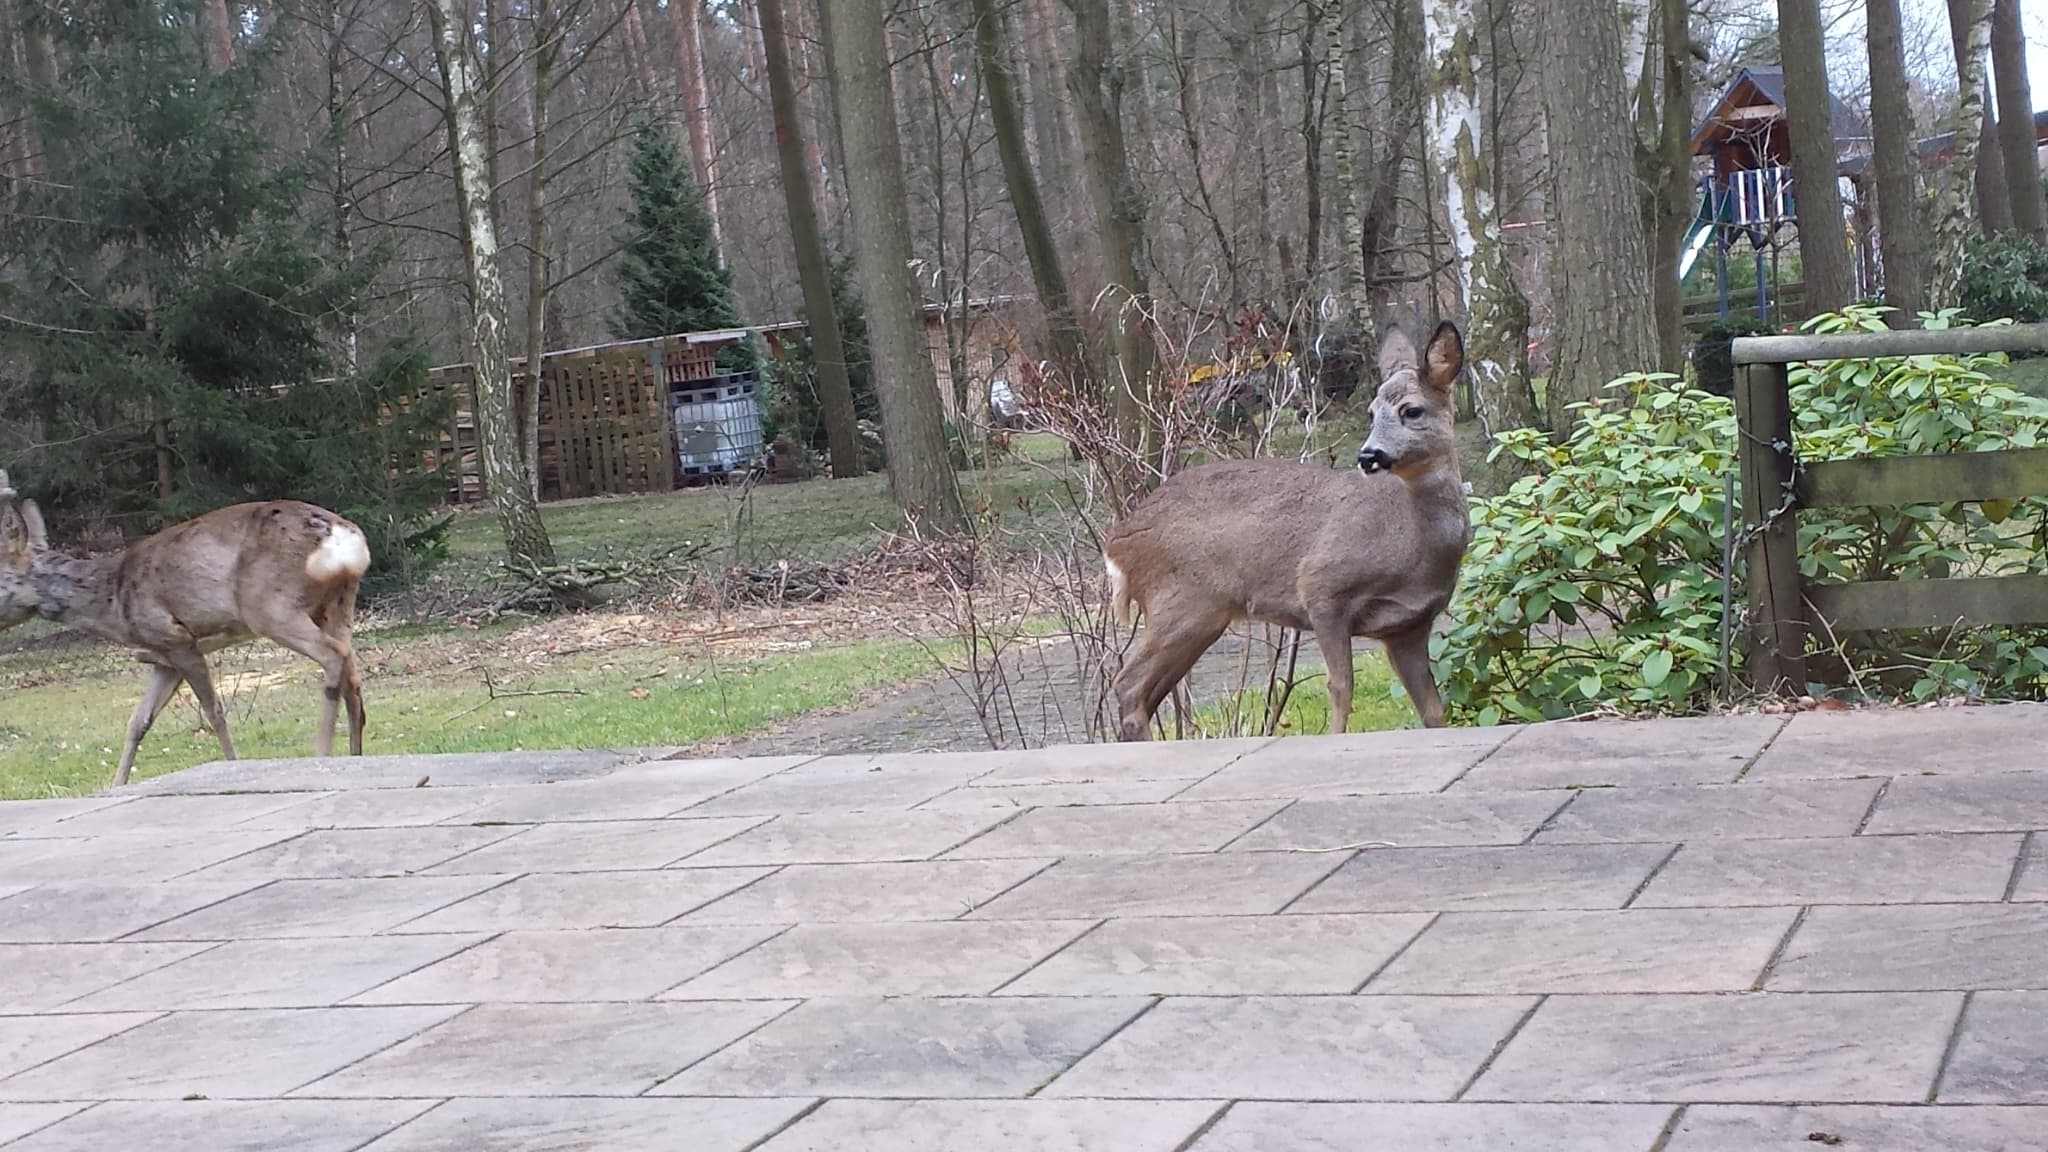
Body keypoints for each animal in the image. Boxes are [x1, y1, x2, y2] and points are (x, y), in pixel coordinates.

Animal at [1, 471, 372, 783]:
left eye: (2, 579)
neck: (114, 601)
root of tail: (343, 537)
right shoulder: (163, 658)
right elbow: (138, 721)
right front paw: (116, 785)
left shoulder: (177, 638)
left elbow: (214, 711)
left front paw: (233, 764)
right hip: (337, 602)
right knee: (351, 671)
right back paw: (354, 756)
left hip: (270, 607)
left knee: (333, 656)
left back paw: (321, 752)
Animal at [1105, 317, 1474, 737]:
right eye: (1371, 412)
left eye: (1412, 410)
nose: (1368, 456)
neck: (1411, 543)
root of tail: (1115, 544)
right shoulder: (1323, 588)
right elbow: (1341, 685)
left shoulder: (1407, 628)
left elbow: (1433, 711)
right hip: (1181, 601)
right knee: (1128, 683)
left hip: (1200, 613)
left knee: (1145, 692)